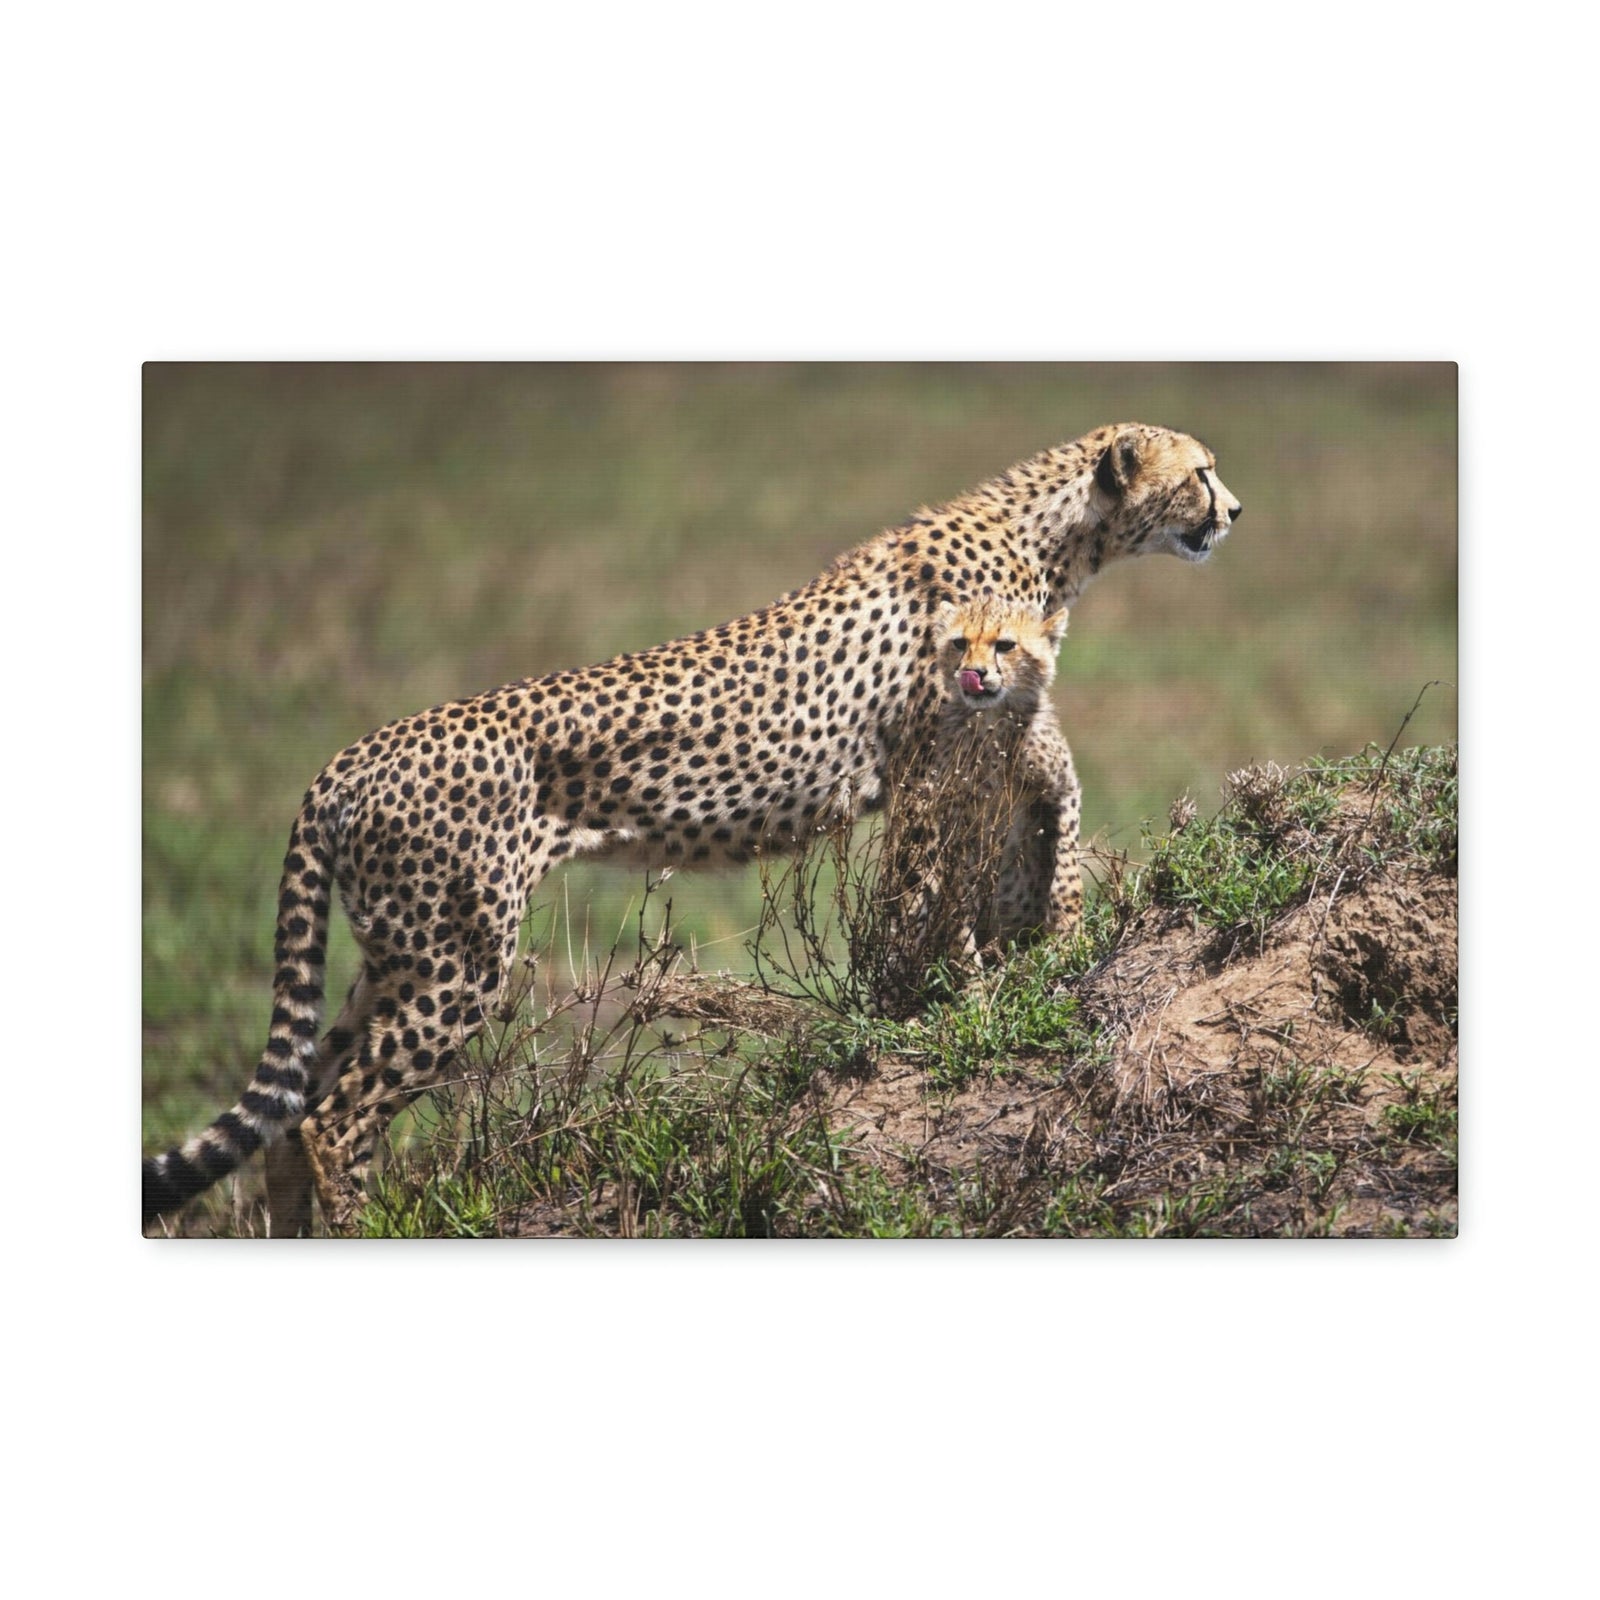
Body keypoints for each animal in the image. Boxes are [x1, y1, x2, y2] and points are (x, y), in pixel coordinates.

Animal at [142, 421, 1241, 1234]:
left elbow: (1040, 830)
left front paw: (1030, 959)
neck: (1055, 536)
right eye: (1201, 471)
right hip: (458, 961)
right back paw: (370, 1231)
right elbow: (931, 901)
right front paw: (949, 1012)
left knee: (295, 1112)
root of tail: (342, 760)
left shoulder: (996, 742)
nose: (1233, 510)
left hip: (400, 955)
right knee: (334, 1119)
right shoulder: (932, 773)